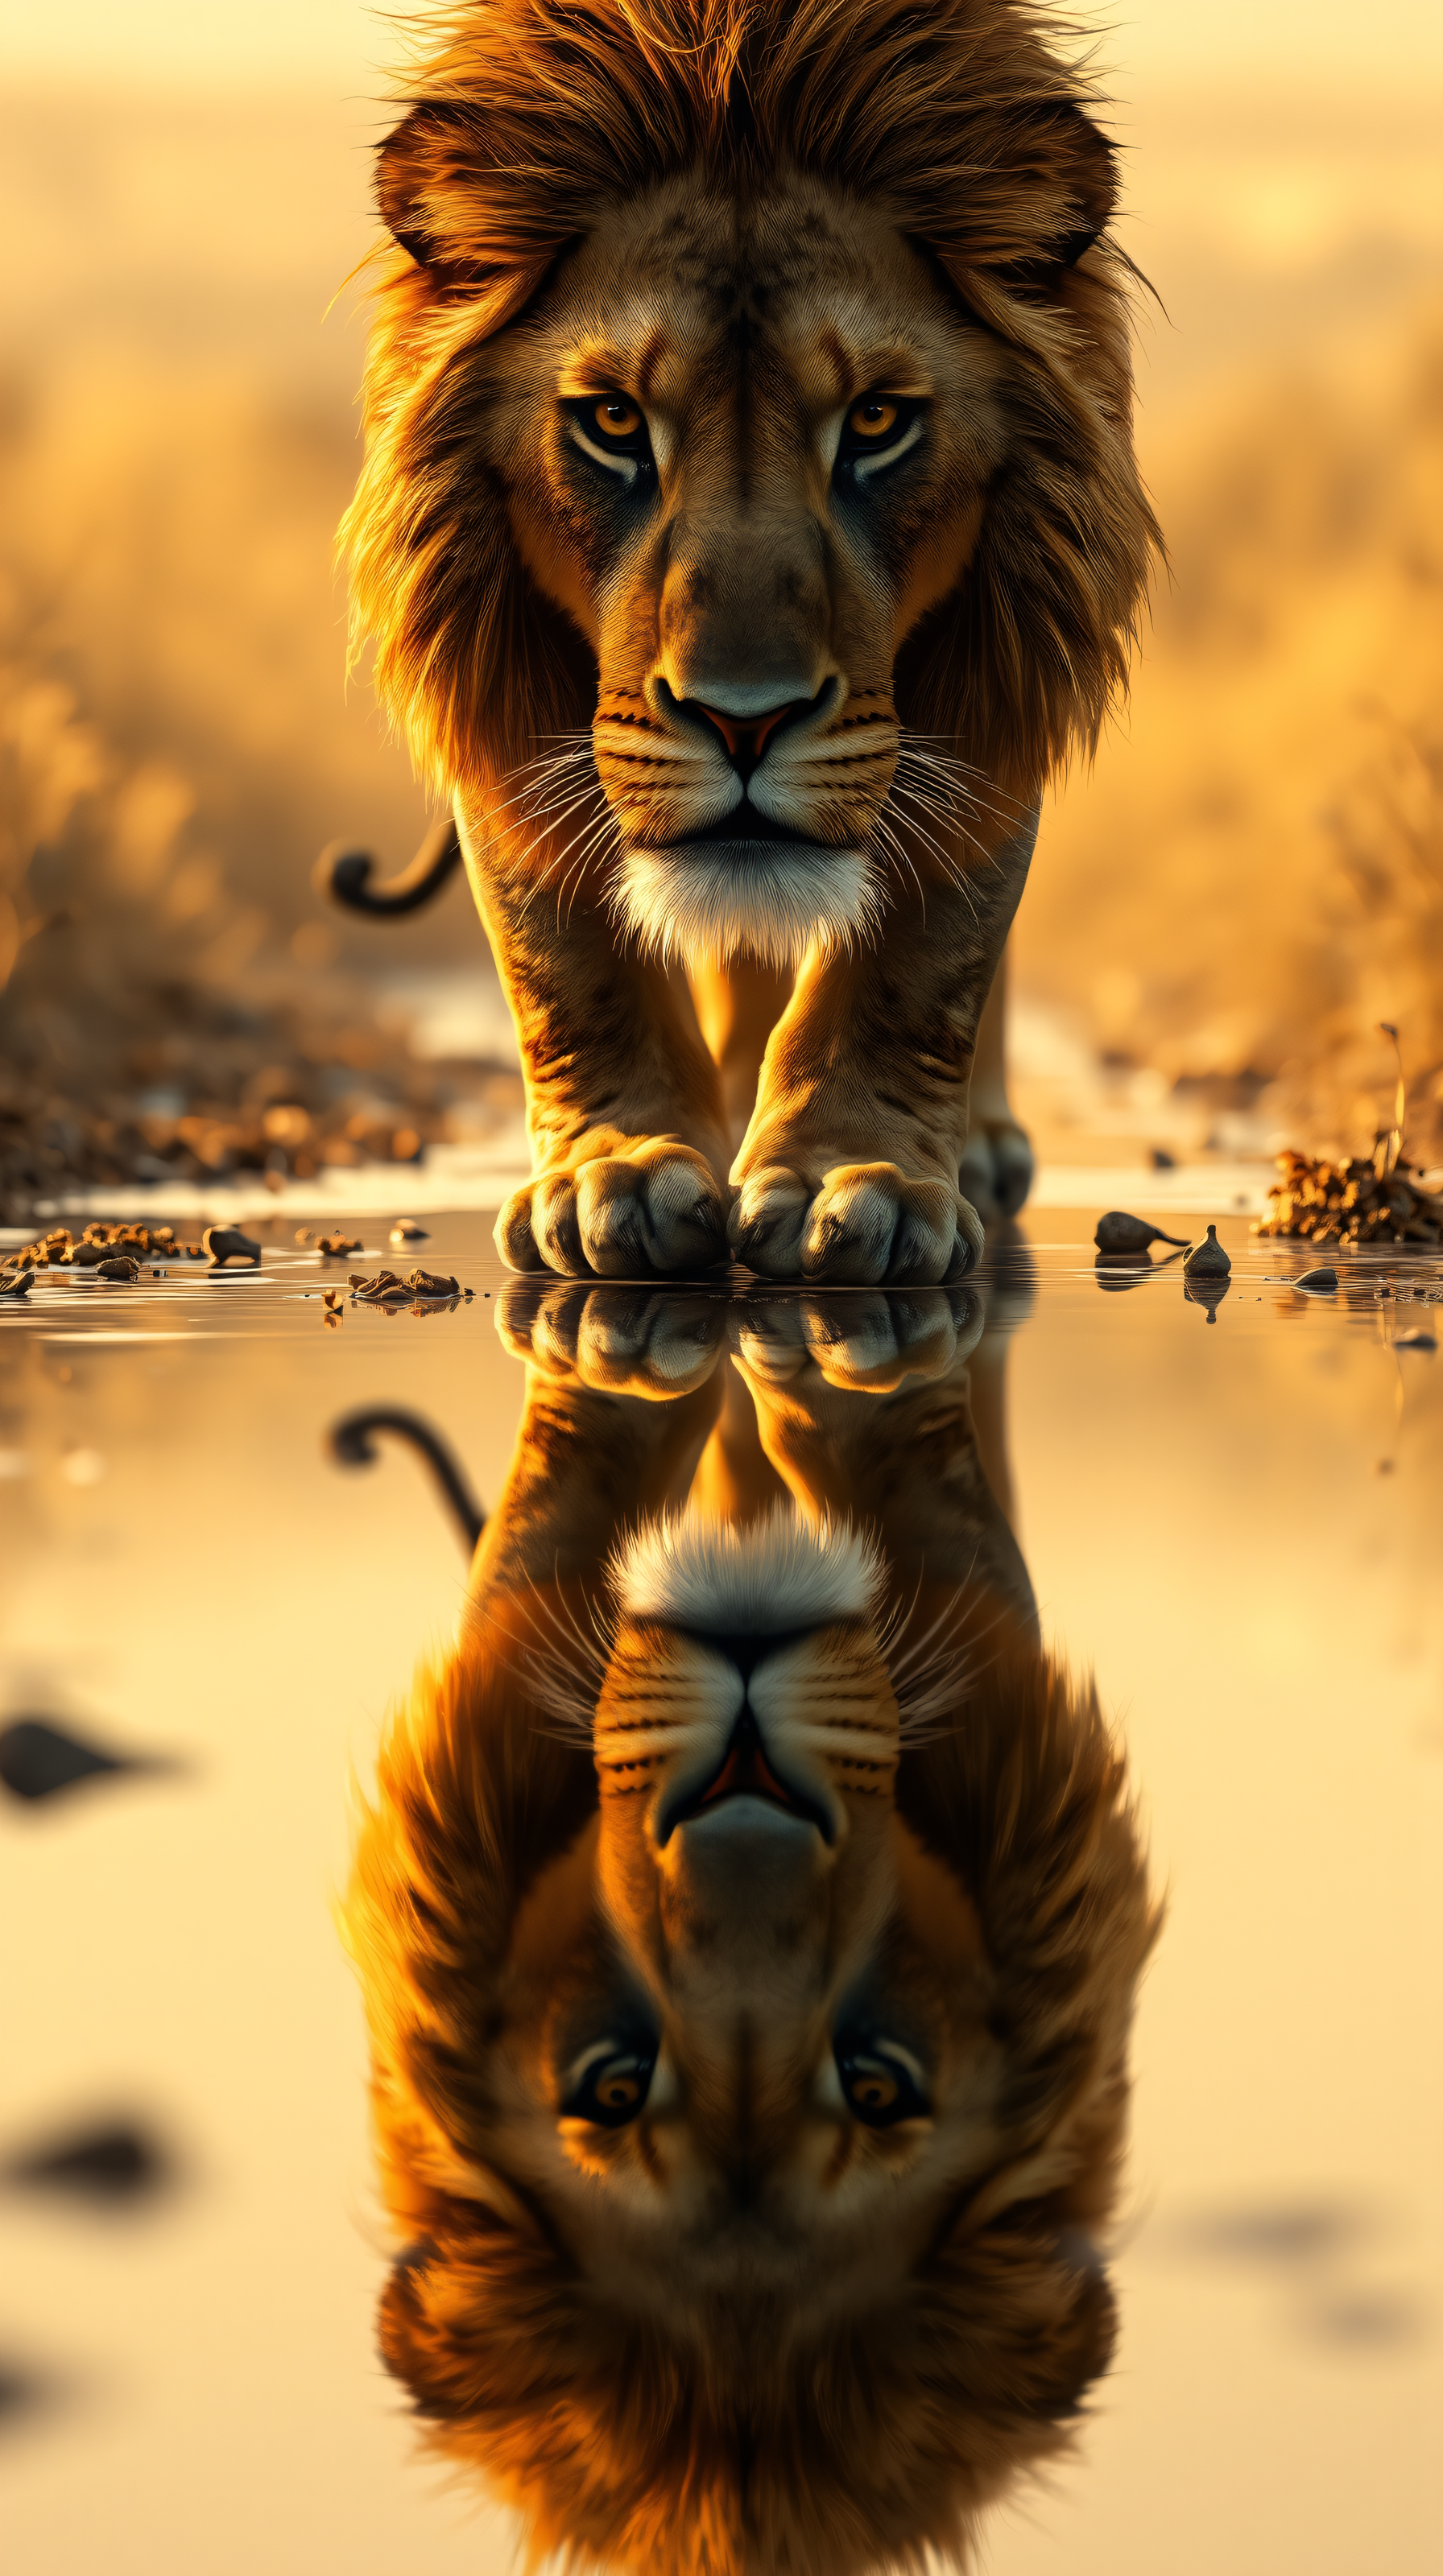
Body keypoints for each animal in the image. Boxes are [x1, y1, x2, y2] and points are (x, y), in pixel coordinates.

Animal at [341, 0, 1160, 1283]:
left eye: (874, 422)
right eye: (614, 421)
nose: (745, 718)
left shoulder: (1000, 672)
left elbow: (925, 956)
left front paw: (857, 1182)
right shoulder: (491, 681)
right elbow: (562, 962)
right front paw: (614, 1175)